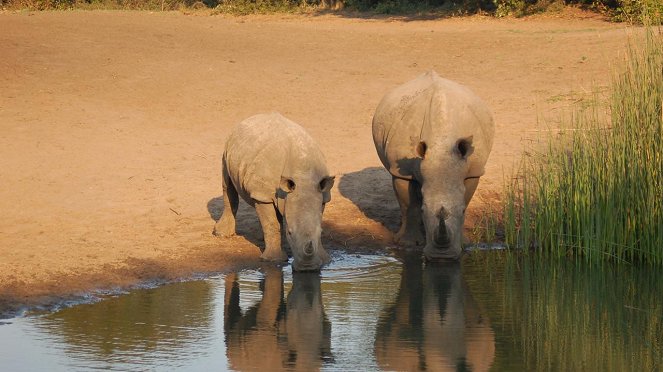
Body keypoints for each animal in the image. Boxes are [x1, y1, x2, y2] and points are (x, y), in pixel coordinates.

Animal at [215, 112, 334, 272]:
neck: (303, 177)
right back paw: (221, 234)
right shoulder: (262, 195)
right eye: (290, 233)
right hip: (227, 148)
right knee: (228, 185)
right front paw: (273, 260)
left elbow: (316, 219)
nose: (307, 268)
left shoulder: (322, 193)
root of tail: (251, 117)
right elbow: (271, 224)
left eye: (321, 232)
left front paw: (325, 259)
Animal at [370, 71, 496, 260]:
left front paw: (463, 243)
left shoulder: (474, 170)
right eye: (424, 210)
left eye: (463, 211)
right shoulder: (402, 172)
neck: (441, 144)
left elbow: (465, 199)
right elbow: (409, 206)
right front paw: (408, 244)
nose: (442, 257)